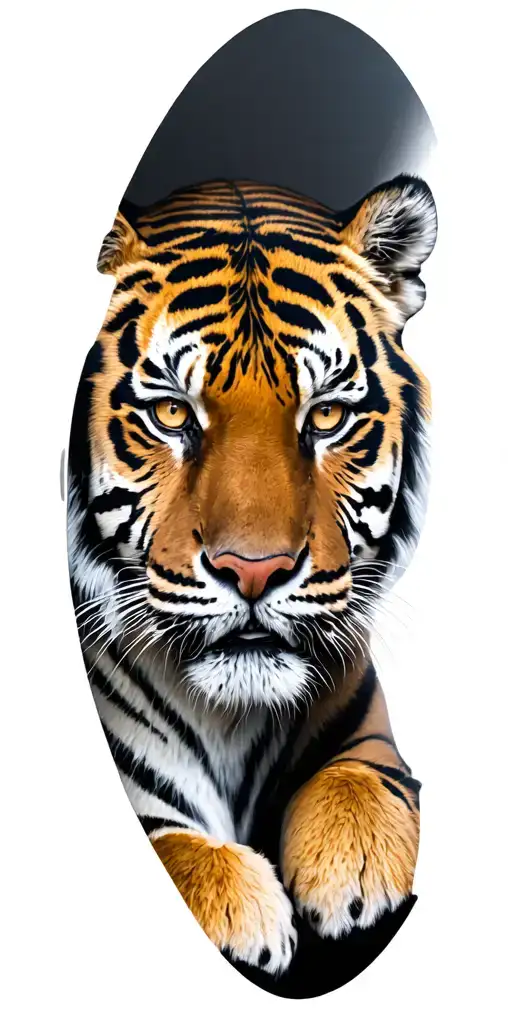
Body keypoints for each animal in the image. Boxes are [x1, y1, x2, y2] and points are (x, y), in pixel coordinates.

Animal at [68, 175, 437, 979]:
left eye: (325, 416)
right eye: (171, 412)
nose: (254, 570)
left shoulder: (370, 734)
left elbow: (360, 780)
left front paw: (354, 873)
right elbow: (171, 845)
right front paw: (240, 905)